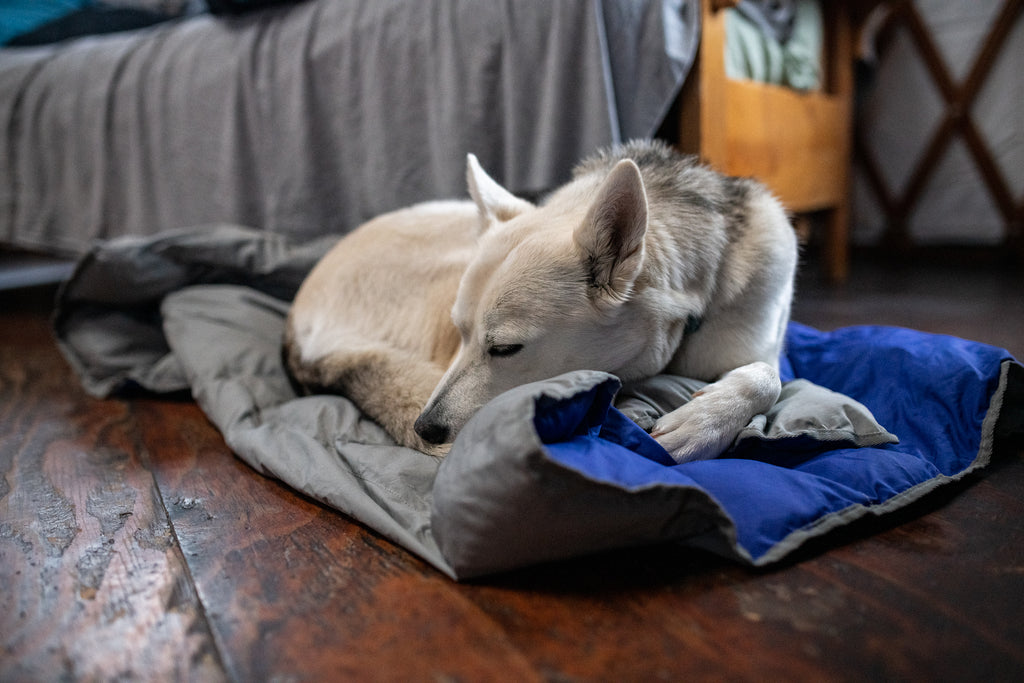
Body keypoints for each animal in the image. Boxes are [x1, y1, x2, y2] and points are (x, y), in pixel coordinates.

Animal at [282, 141, 798, 464]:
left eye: (505, 349)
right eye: (462, 334)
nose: (424, 428)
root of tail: (293, 326)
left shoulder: (764, 345)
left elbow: (769, 377)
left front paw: (702, 423)